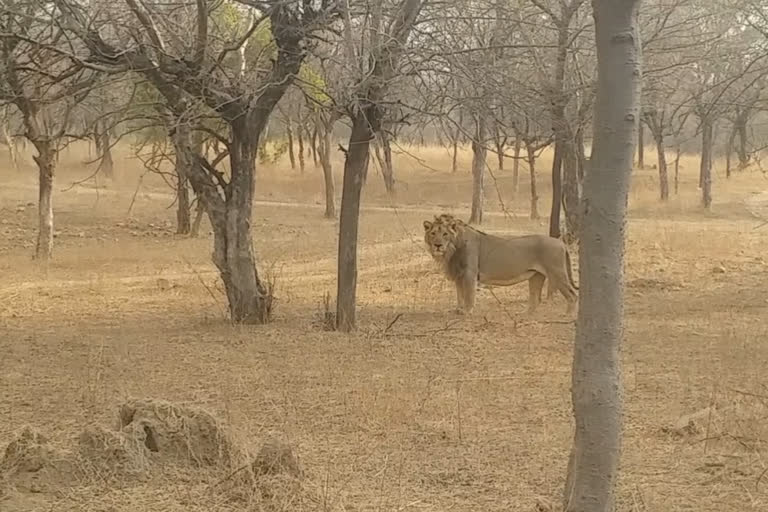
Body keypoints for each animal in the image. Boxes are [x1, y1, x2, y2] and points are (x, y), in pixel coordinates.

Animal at [424, 213, 580, 316]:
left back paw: (567, 316)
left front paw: (467, 312)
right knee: (535, 299)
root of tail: (561, 243)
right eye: (433, 233)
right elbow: (459, 294)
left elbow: (469, 294)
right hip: (536, 276)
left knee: (573, 295)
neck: (452, 250)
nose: (437, 245)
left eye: (445, 234)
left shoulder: (469, 273)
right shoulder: (459, 275)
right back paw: (524, 314)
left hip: (557, 273)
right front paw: (458, 310)